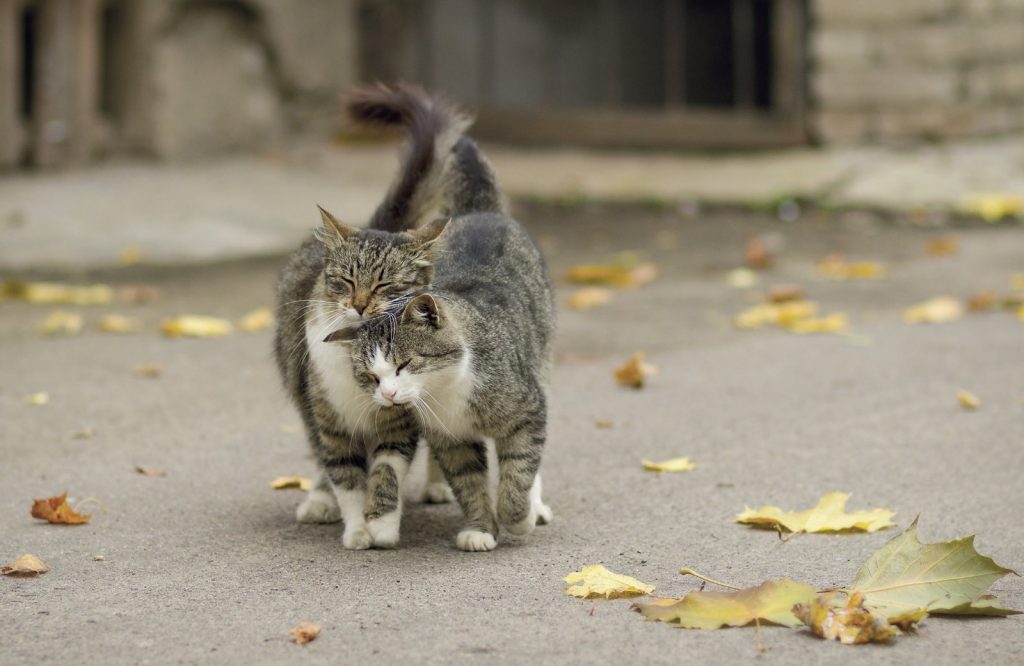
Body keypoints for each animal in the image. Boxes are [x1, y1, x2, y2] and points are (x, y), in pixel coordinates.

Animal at [274, 82, 505, 549]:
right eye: (346, 281)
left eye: (384, 286)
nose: (360, 304)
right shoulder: (327, 415)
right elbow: (344, 475)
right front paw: (356, 527)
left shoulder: (400, 420)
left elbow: (385, 471)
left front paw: (381, 523)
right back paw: (319, 500)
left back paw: (435, 484)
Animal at [337, 206, 557, 549]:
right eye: (371, 377)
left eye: (404, 364)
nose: (388, 395)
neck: (447, 391)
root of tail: (482, 212)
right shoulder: (450, 439)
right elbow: (468, 484)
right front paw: (480, 528)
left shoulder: (528, 410)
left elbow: (519, 469)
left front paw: (519, 518)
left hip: (541, 363)